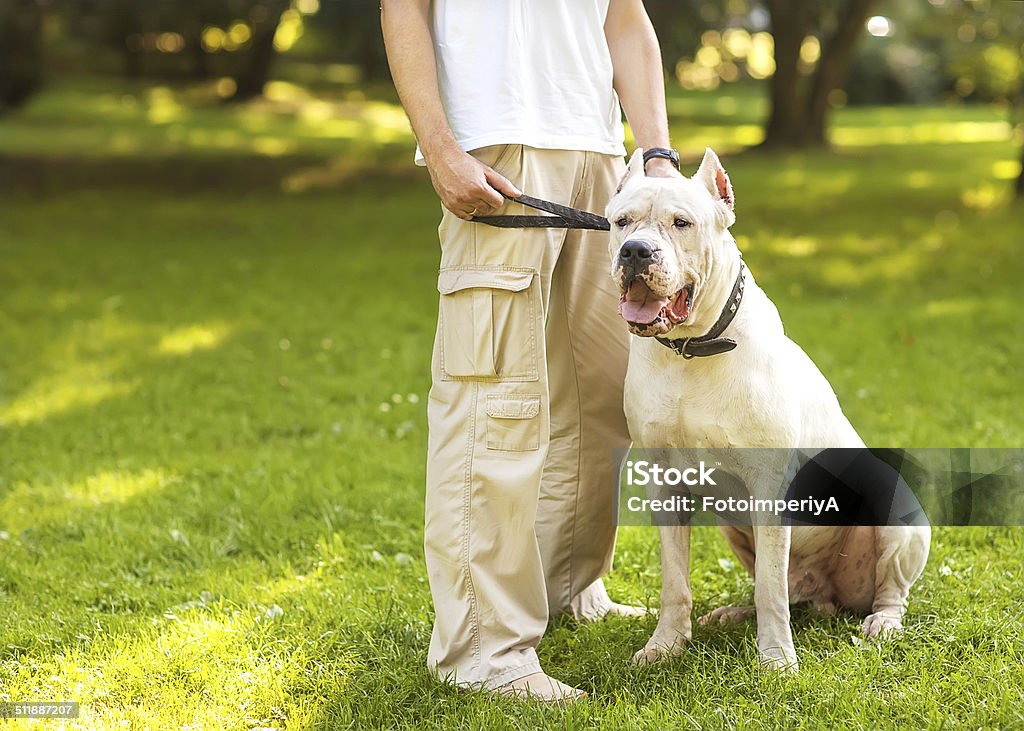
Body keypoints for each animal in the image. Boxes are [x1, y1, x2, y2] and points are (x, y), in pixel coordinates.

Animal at [602, 149, 933, 671]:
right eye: (621, 222)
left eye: (681, 223)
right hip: (733, 527)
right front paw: (666, 644)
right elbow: (676, 580)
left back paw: (882, 622)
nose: (636, 251)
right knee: (786, 585)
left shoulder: (768, 485)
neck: (691, 351)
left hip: (898, 511)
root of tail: (829, 596)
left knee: (884, 591)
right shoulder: (666, 485)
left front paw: (776, 659)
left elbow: (770, 590)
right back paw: (733, 614)